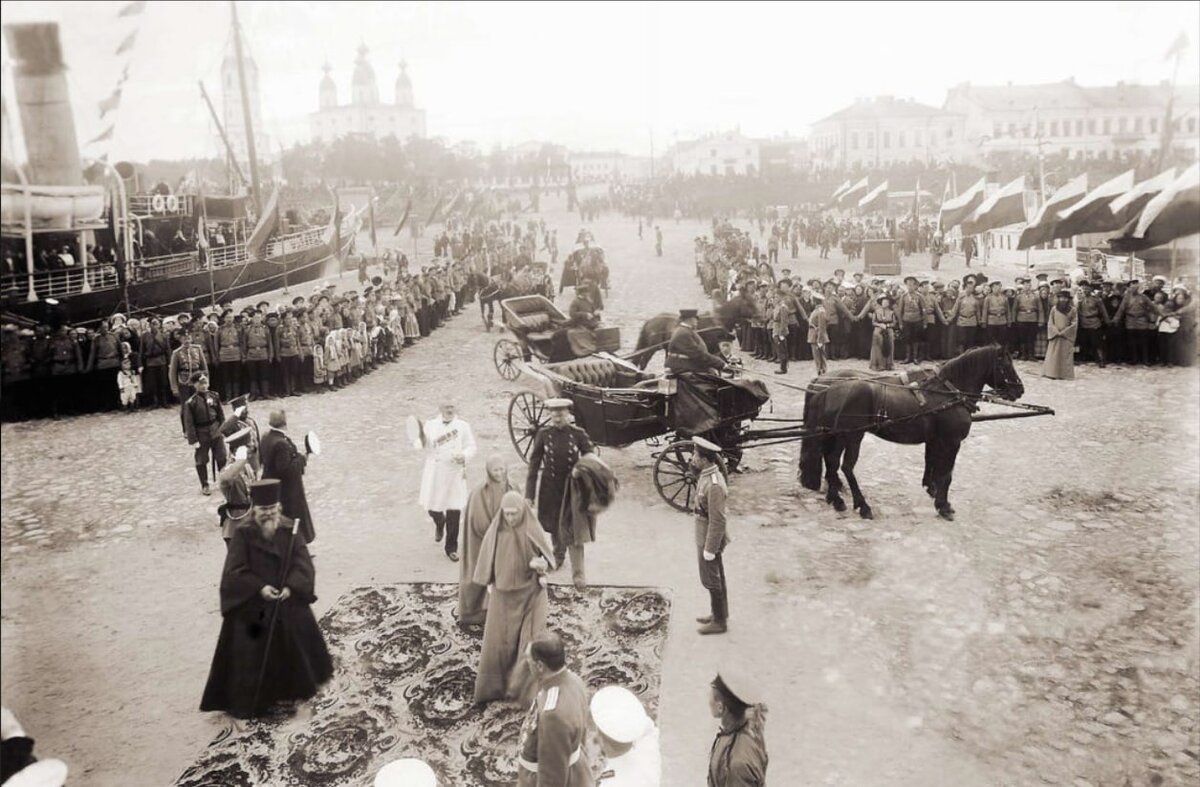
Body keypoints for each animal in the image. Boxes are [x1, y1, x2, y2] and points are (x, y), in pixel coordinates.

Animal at [628, 295, 758, 369]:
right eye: (749, 304)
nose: (760, 317)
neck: (717, 320)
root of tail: (650, 321)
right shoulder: (713, 350)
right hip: (651, 348)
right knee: (643, 363)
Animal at [796, 345, 1022, 520]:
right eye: (1006, 366)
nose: (1020, 390)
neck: (947, 393)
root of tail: (826, 388)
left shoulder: (935, 439)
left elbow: (931, 462)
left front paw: (931, 489)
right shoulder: (952, 441)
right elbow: (946, 474)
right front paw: (943, 506)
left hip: (836, 435)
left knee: (832, 462)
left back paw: (835, 499)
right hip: (851, 436)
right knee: (845, 466)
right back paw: (862, 505)